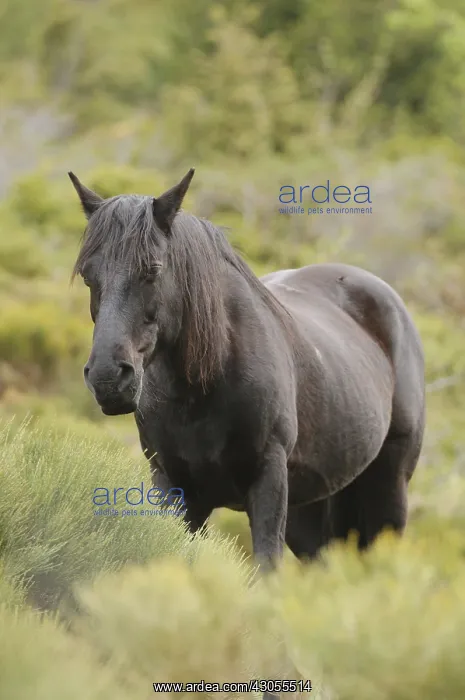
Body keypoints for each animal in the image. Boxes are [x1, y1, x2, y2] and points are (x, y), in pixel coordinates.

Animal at [69, 168, 425, 570]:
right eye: (88, 275)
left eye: (153, 270)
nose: (108, 379)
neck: (202, 391)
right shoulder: (175, 488)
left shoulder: (267, 481)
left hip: (388, 488)